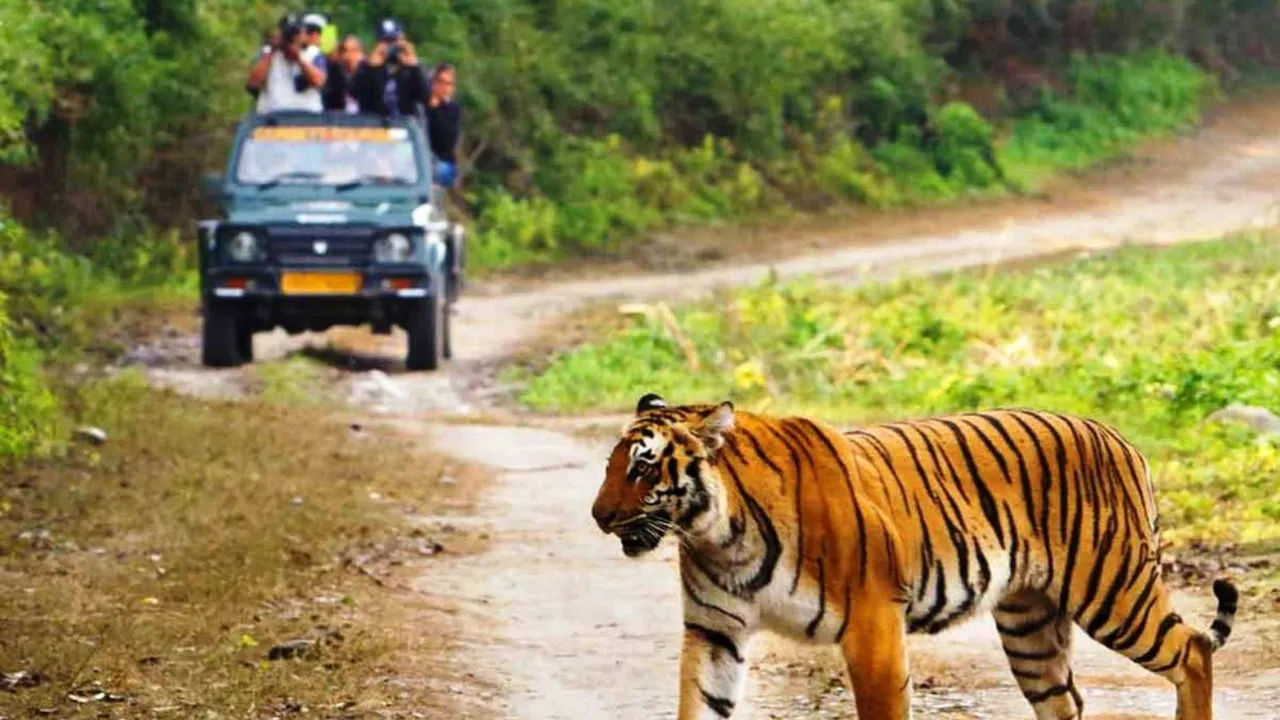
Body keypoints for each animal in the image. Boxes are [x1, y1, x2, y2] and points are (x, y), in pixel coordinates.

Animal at [591, 392, 1239, 717]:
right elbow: (700, 704)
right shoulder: (714, 631)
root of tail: (1119, 436)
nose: (598, 516)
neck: (718, 534)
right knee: (1066, 699)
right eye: (610, 464)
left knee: (1193, 651)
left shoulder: (873, 623)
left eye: (643, 466)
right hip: (1030, 625)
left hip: (1112, 589)